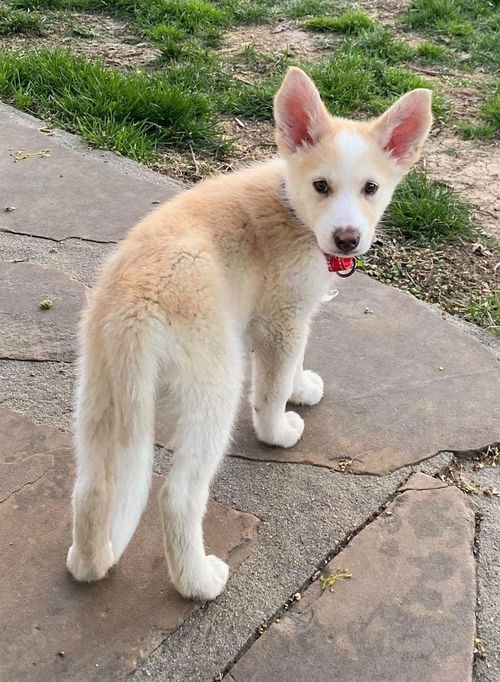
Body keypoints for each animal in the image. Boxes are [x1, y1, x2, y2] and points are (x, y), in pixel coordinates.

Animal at [67, 66, 434, 600]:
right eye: (321, 185)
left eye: (371, 188)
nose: (347, 239)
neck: (291, 207)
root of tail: (135, 304)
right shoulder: (283, 318)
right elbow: (272, 387)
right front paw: (279, 428)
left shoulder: (289, 315)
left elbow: (294, 364)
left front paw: (301, 386)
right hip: (215, 385)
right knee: (178, 496)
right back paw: (199, 582)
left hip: (100, 391)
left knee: (92, 489)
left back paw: (88, 564)